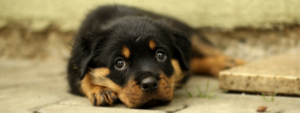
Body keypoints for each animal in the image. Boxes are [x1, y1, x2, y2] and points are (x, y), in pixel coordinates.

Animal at [67, 5, 244, 107]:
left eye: (160, 55)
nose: (150, 84)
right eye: (119, 63)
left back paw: (234, 63)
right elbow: (82, 78)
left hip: (194, 37)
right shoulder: (75, 62)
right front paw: (100, 90)